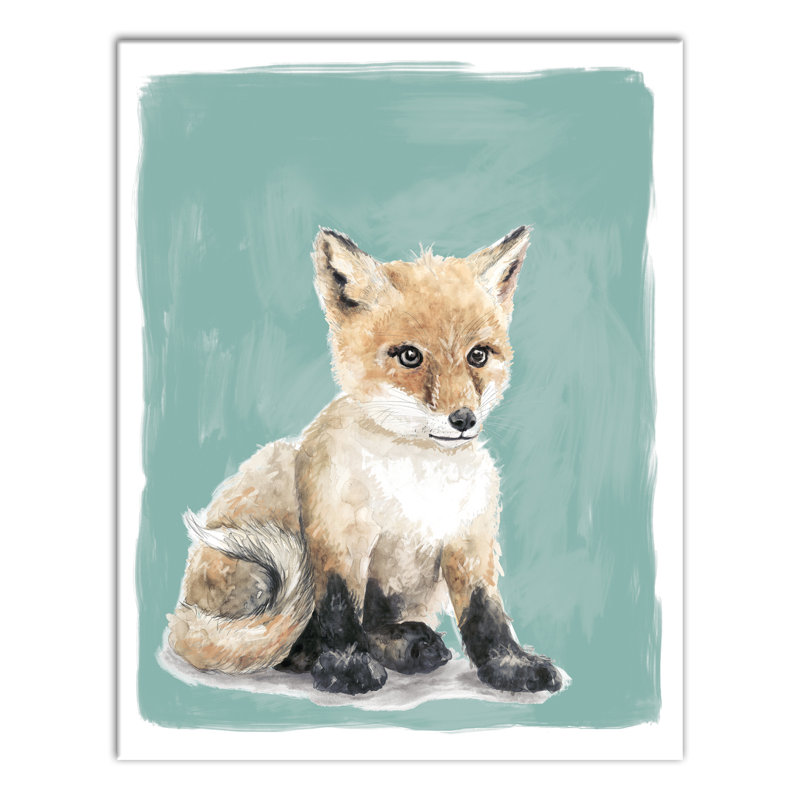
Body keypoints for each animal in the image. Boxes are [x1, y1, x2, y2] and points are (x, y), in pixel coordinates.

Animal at [167, 225, 563, 696]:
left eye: (478, 355)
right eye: (410, 356)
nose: (464, 419)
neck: (419, 479)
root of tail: (184, 615)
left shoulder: (470, 540)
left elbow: (485, 614)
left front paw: (508, 666)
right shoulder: (339, 535)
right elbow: (339, 609)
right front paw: (345, 666)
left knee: (372, 625)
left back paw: (409, 644)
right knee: (293, 637)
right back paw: (322, 655)